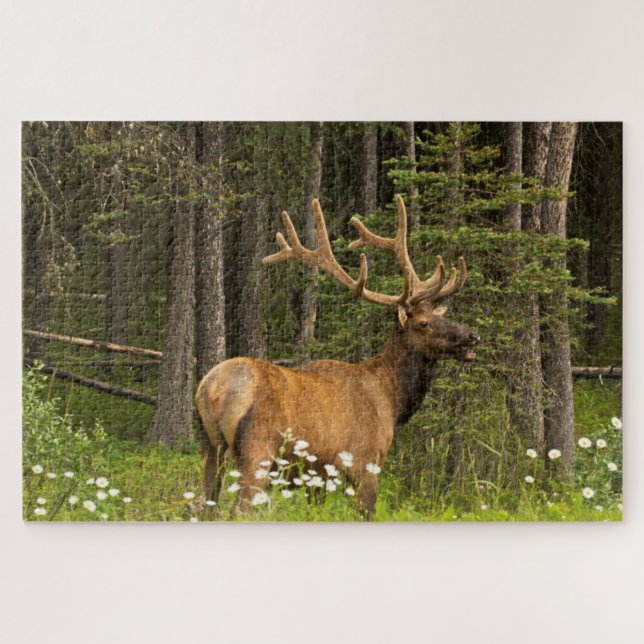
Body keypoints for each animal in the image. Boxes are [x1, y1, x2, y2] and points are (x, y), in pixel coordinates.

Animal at [195, 195, 480, 518]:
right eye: (423, 323)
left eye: (440, 315)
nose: (473, 337)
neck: (391, 399)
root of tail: (211, 390)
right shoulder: (365, 462)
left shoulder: (317, 476)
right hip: (258, 451)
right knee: (240, 509)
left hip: (210, 448)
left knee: (206, 504)